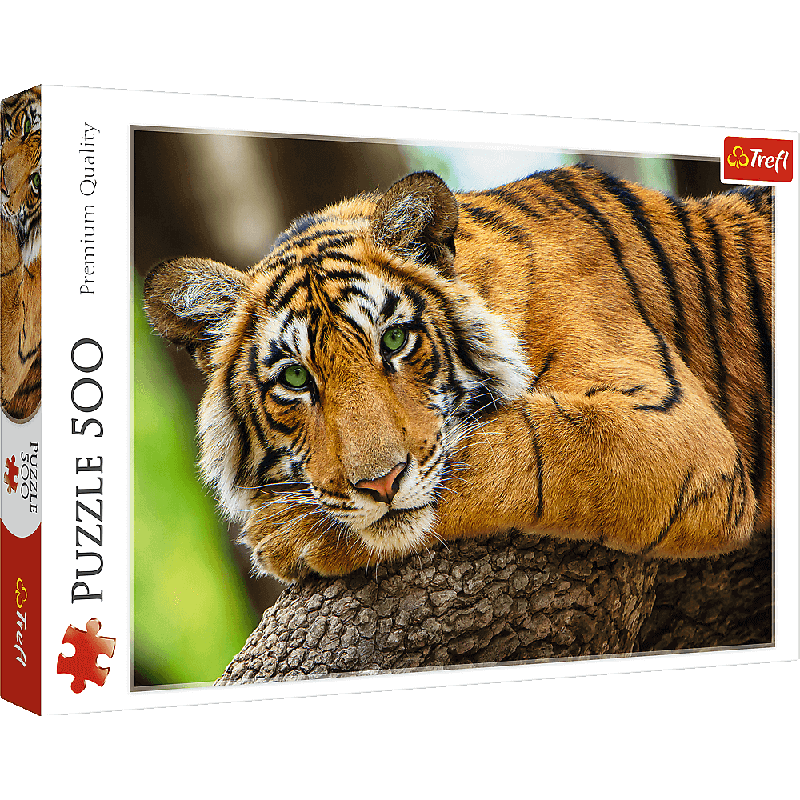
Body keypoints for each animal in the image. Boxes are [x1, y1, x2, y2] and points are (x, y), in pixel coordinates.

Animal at [143, 164, 773, 584]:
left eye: (395, 341)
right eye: (296, 379)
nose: (380, 485)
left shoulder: (673, 428)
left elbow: (516, 447)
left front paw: (285, 533)